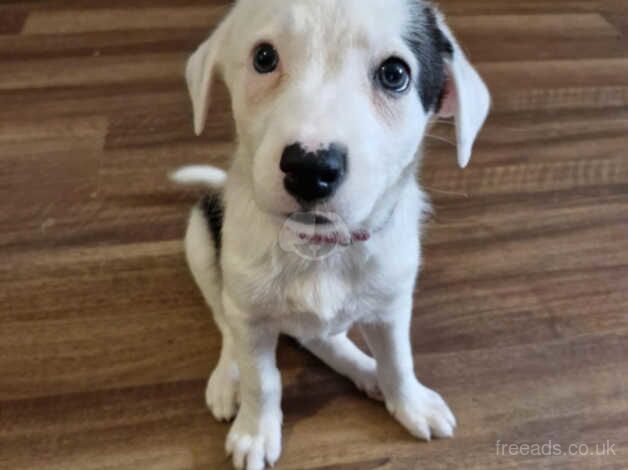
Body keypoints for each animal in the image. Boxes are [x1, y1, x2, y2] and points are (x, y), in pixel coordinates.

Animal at [172, 1, 490, 468]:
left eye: (394, 74)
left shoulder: (392, 305)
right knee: (225, 321)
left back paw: (365, 371)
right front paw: (255, 431)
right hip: (199, 239)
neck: (317, 249)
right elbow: (261, 379)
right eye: (263, 58)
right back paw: (228, 378)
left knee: (321, 337)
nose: (310, 169)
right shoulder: (251, 316)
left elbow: (399, 361)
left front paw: (408, 402)